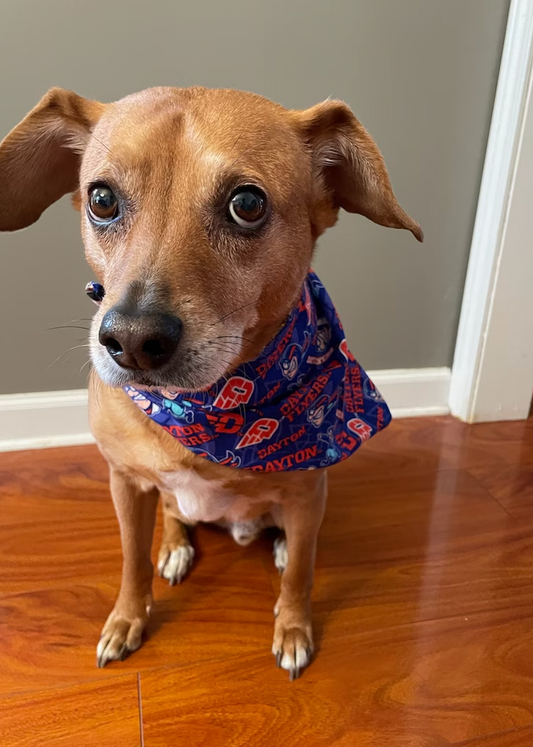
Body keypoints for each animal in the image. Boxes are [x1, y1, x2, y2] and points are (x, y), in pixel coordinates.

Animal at [0, 84, 420, 680]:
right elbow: (131, 561)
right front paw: (128, 618)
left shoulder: (308, 490)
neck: (203, 408)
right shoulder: (124, 482)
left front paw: (294, 627)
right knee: (174, 515)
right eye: (101, 199)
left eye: (247, 204)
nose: (131, 340)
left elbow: (302, 572)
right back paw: (175, 546)